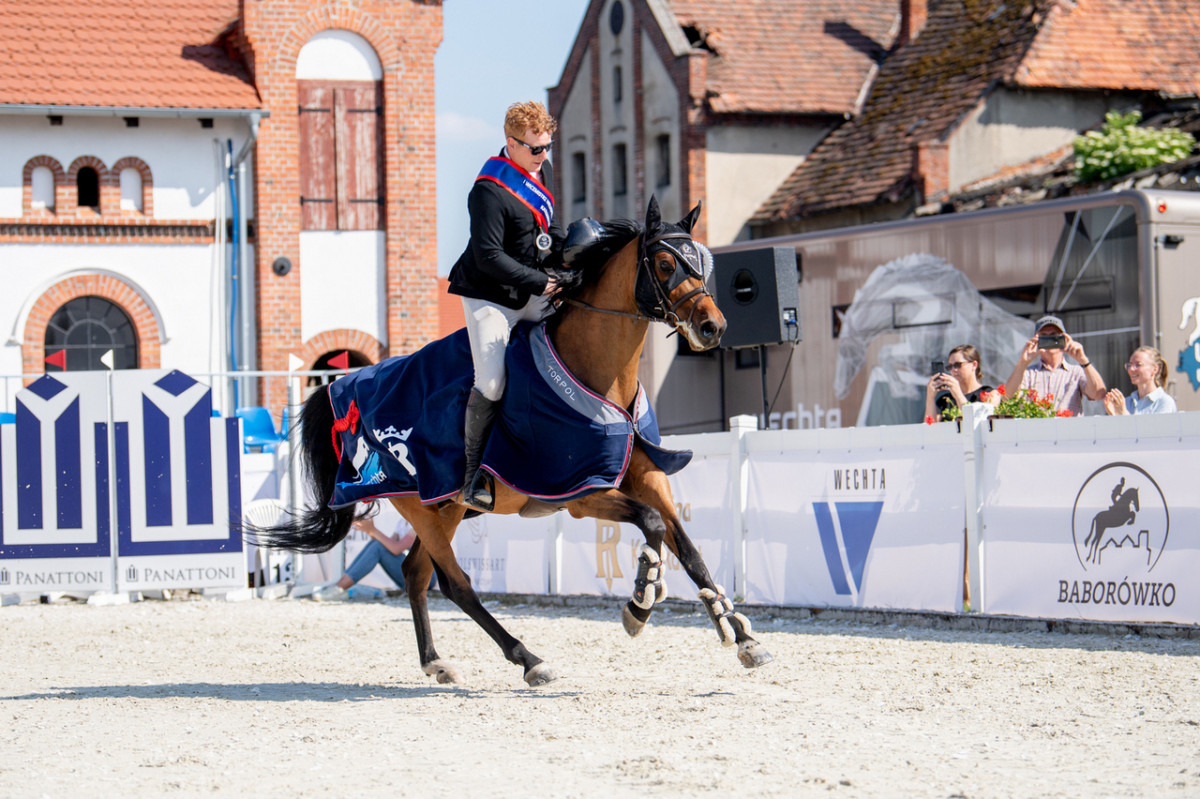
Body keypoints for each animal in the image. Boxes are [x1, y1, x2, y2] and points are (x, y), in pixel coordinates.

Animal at [247, 197, 772, 686]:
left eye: (703, 262)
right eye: (665, 264)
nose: (713, 327)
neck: (602, 374)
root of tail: (347, 386)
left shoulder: (647, 476)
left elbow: (690, 550)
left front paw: (741, 636)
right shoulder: (581, 494)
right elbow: (652, 526)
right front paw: (640, 602)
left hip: (444, 510)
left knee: (416, 574)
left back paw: (436, 662)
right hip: (423, 508)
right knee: (455, 584)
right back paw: (530, 660)